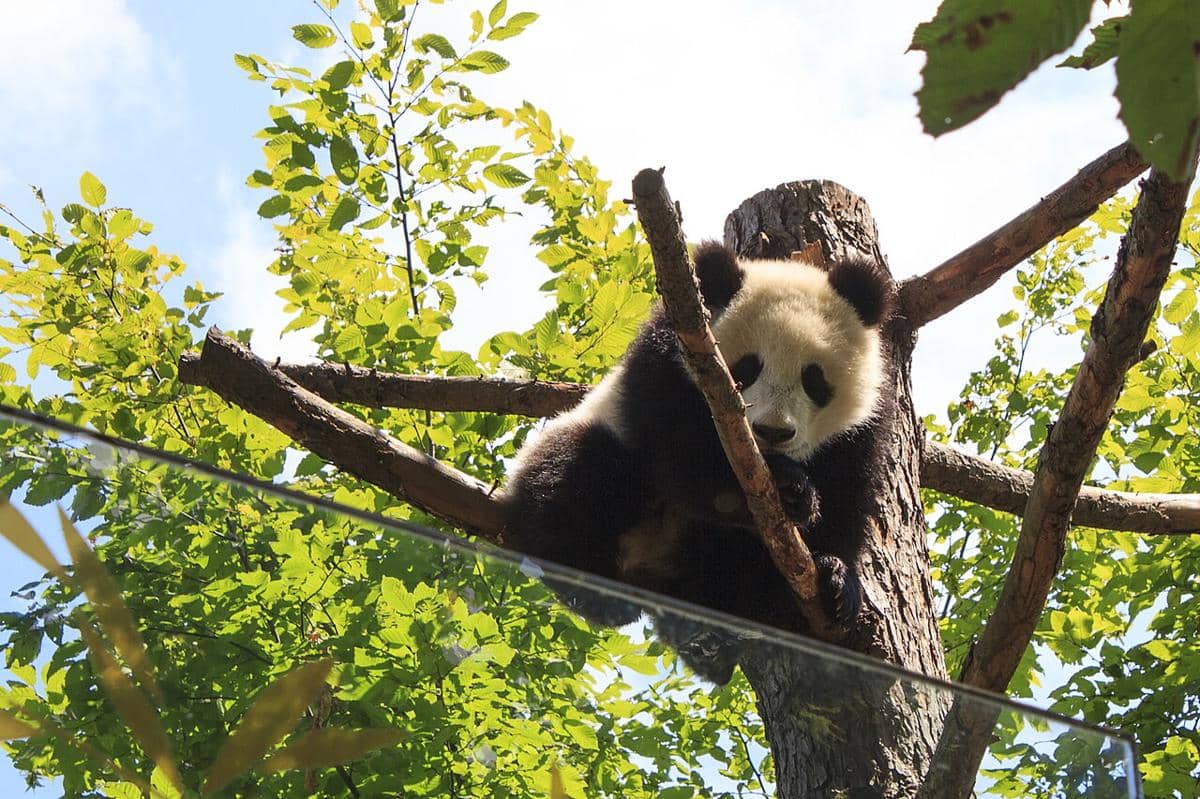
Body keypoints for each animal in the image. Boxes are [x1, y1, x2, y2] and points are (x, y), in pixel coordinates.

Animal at [503, 240, 896, 682]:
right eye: (745, 369)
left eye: (814, 380)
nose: (773, 432)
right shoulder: (668, 361)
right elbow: (681, 456)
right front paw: (789, 486)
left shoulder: (862, 427)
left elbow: (847, 497)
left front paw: (836, 578)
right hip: (587, 444)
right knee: (579, 475)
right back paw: (591, 582)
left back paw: (711, 638)